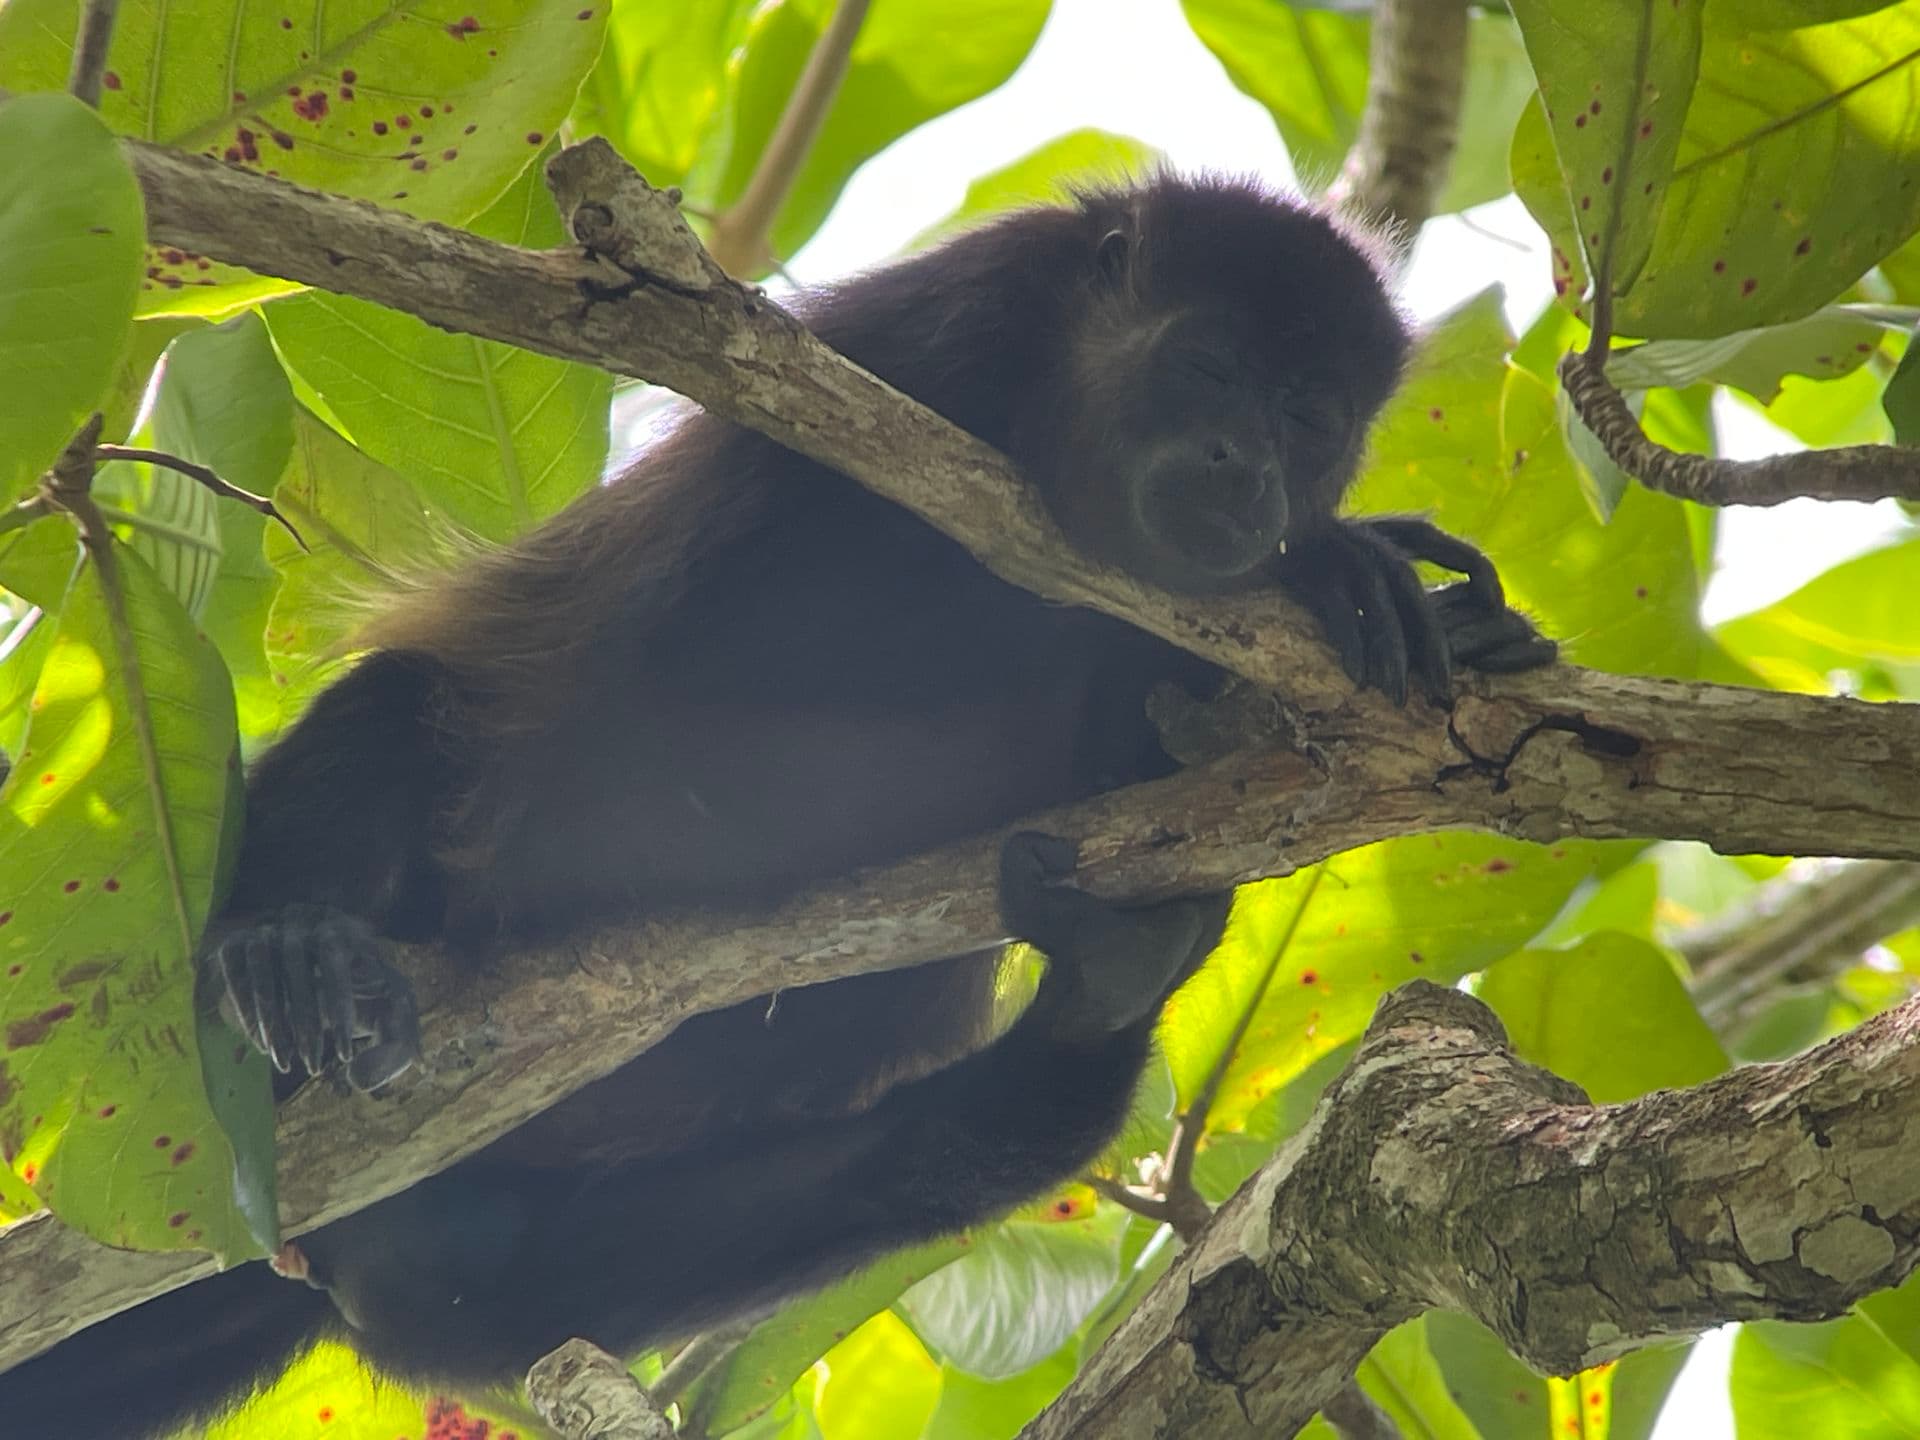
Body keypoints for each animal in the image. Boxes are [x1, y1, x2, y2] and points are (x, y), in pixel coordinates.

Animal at [0, 173, 1552, 1438]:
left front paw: (1364, 616)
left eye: (1308, 418)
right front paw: (1335, 564)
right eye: (1212, 364)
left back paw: (1096, 1000)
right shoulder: (929, 339)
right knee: (406, 714)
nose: (1253, 470)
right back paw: (292, 955)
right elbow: (756, 642)